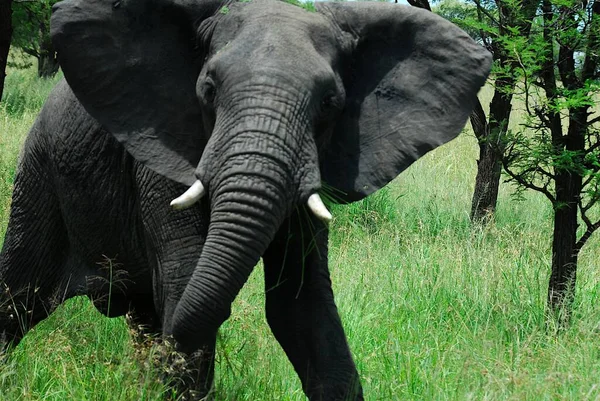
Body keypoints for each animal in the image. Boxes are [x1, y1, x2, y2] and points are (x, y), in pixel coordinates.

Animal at [0, 1, 490, 398]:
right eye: (209, 90)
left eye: (330, 102)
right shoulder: (164, 153)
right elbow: (183, 280)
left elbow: (302, 302)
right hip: (40, 175)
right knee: (17, 296)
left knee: (143, 317)